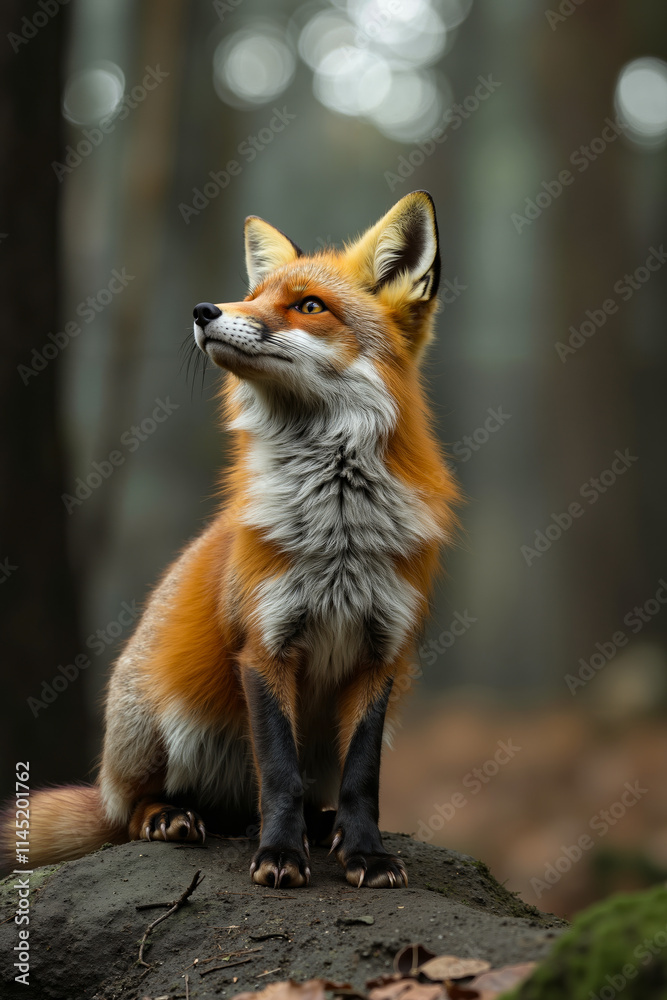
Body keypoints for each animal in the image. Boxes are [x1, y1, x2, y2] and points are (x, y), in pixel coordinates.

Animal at [1, 190, 459, 888]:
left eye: (307, 305)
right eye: (254, 294)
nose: (204, 310)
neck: (339, 532)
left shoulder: (382, 654)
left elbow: (362, 778)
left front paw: (365, 853)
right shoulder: (264, 645)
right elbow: (279, 772)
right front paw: (279, 856)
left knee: (278, 798)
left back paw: (314, 826)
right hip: (155, 724)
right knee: (132, 813)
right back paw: (173, 817)